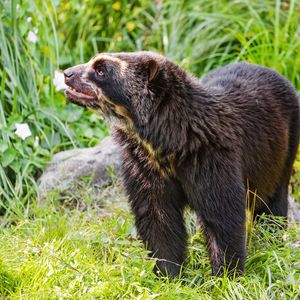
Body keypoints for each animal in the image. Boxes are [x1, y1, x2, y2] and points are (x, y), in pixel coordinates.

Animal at [63, 51, 300, 276]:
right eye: (93, 60)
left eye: (101, 69)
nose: (67, 73)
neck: (169, 144)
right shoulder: (144, 166)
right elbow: (158, 218)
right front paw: (170, 274)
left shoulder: (211, 158)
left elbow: (222, 217)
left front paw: (225, 275)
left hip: (278, 154)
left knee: (271, 201)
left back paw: (272, 239)